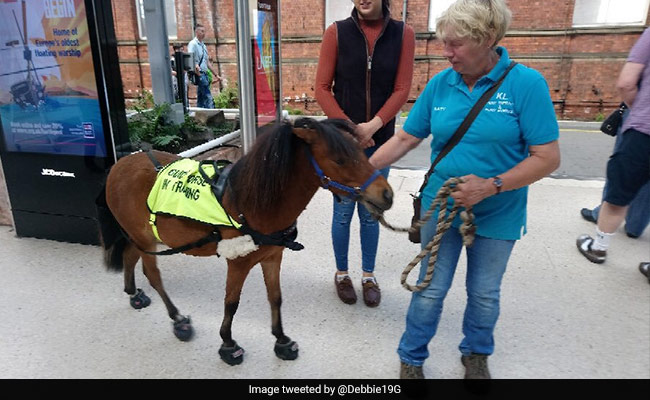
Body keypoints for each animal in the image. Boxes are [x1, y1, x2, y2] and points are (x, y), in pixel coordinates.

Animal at [96, 117, 393, 365]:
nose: (386, 195)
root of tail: (118, 166)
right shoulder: (237, 262)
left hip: (139, 235)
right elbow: (231, 302)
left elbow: (275, 297)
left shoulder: (272, 256)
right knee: (152, 273)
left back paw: (134, 294)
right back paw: (178, 319)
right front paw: (228, 344)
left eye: (362, 152)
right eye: (340, 159)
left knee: (130, 255)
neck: (252, 202)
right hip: (145, 237)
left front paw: (282, 340)